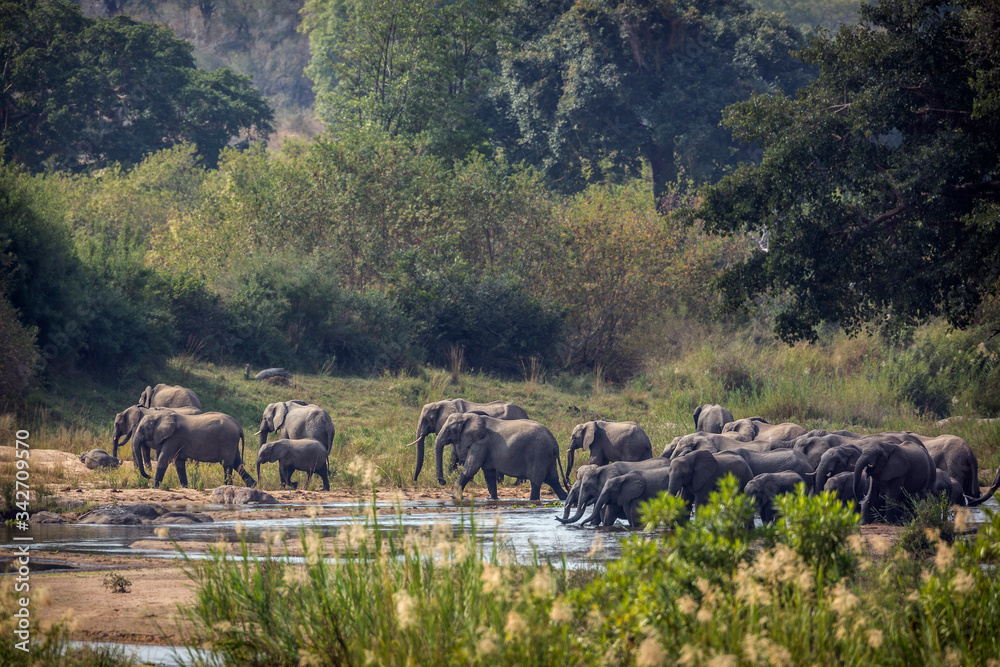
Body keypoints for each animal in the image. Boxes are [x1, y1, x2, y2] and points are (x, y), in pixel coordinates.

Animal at [433, 413, 566, 501]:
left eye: (449, 430)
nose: (442, 481)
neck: (469, 416)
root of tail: (555, 443)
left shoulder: (480, 443)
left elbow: (471, 468)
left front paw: (453, 496)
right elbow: (488, 472)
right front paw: (491, 499)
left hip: (538, 454)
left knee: (537, 482)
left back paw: (533, 500)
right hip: (547, 457)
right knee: (553, 480)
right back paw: (564, 498)